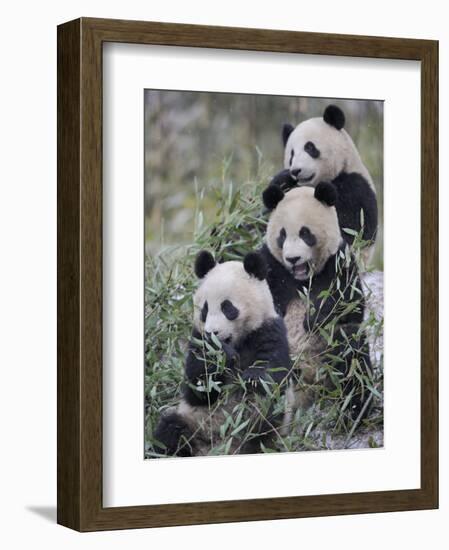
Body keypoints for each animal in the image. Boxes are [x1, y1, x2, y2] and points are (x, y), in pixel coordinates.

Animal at [153, 252, 290, 460]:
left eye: (228, 308)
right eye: (204, 310)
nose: (213, 333)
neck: (237, 342)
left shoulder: (269, 329)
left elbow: (274, 372)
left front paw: (251, 378)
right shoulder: (197, 340)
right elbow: (198, 388)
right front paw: (220, 356)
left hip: (264, 427)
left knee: (264, 421)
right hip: (192, 420)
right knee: (168, 430)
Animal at [260, 183, 372, 424]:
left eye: (305, 233)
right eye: (282, 235)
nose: (293, 259)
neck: (302, 279)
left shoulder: (339, 262)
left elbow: (350, 305)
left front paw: (312, 318)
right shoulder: (270, 266)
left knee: (351, 354)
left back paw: (353, 413)